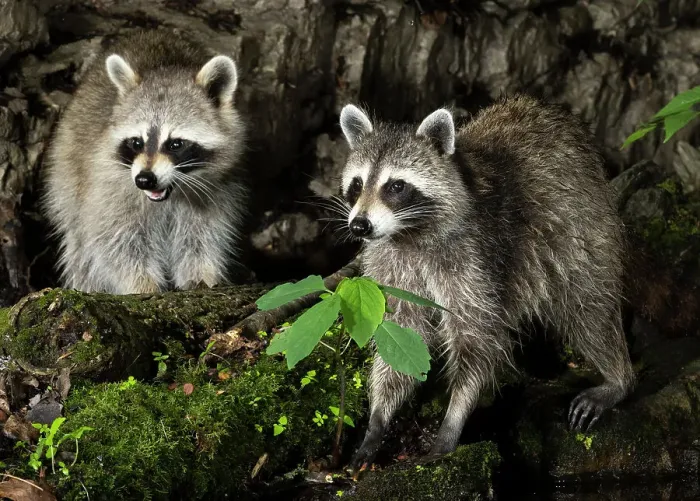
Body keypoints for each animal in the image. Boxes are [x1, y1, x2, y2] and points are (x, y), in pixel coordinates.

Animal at [43, 30, 247, 294]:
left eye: (175, 144)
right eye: (136, 142)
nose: (144, 179)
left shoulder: (217, 191)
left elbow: (202, 235)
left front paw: (201, 274)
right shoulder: (109, 188)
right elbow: (114, 241)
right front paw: (143, 284)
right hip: (66, 172)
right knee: (81, 246)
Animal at [337, 95, 635, 468]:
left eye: (396, 186)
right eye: (357, 184)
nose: (359, 225)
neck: (408, 234)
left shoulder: (475, 259)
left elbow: (476, 336)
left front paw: (453, 418)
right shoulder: (390, 264)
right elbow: (400, 331)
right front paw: (378, 419)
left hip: (583, 229)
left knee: (587, 306)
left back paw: (618, 377)